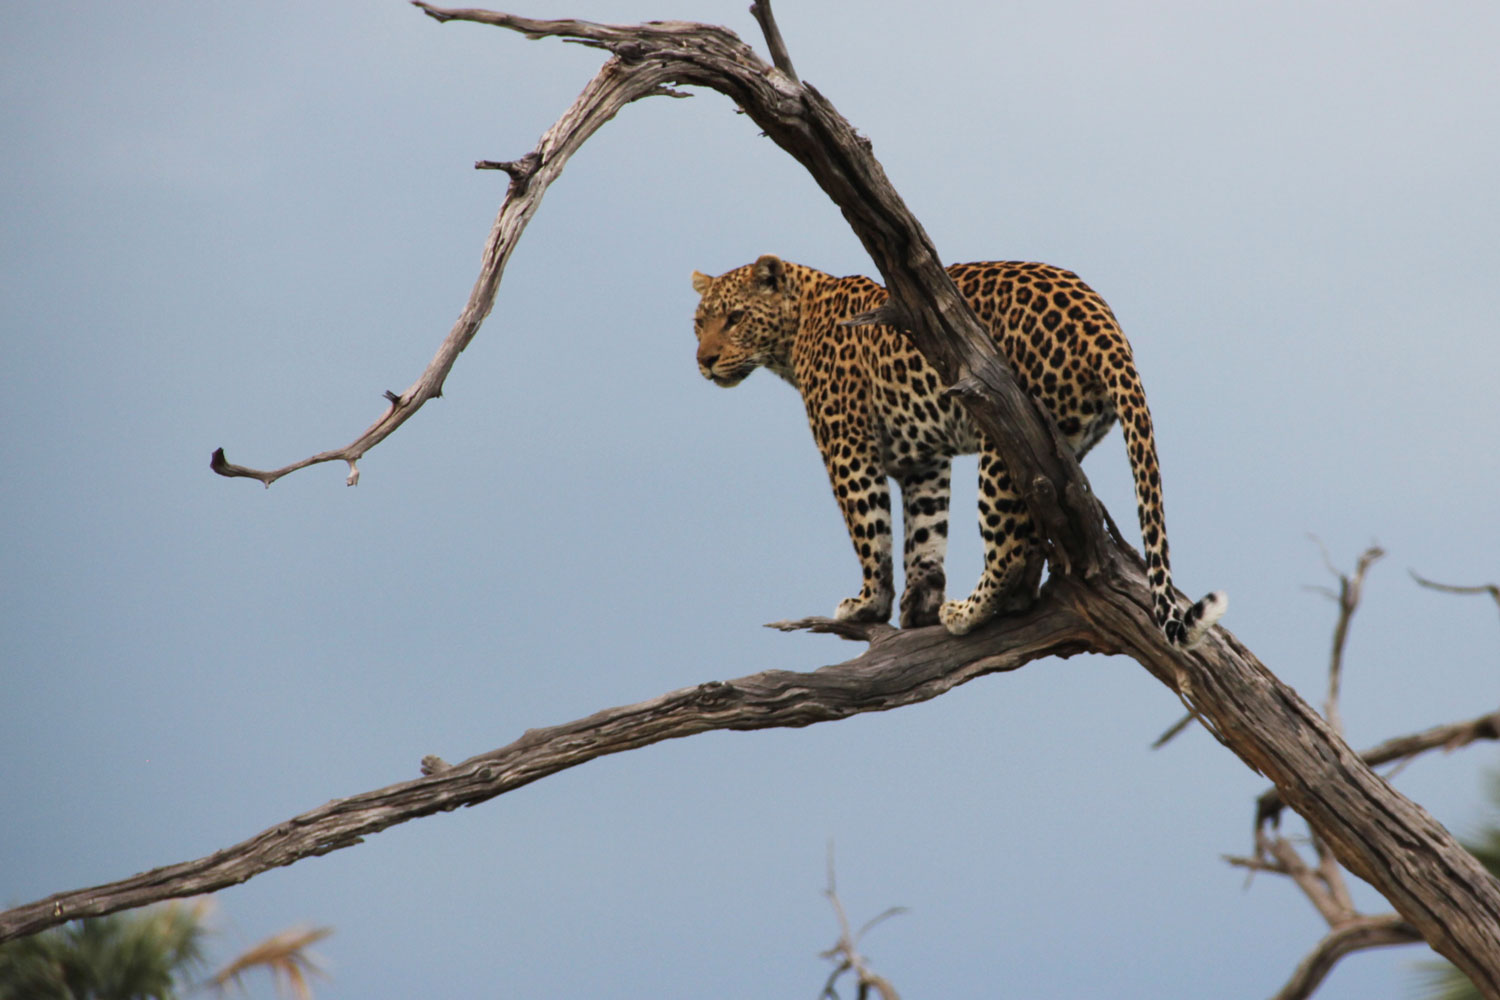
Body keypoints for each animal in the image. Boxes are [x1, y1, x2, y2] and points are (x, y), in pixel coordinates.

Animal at [691, 254, 1226, 647]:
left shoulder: (846, 447)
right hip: (1064, 441)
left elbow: (869, 528)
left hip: (1004, 445)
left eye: (735, 318)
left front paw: (868, 603)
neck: (795, 330)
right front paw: (919, 604)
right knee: (1036, 530)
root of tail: (1104, 322)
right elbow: (925, 533)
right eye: (699, 323)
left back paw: (970, 611)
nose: (705, 360)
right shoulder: (922, 460)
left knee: (1008, 543)